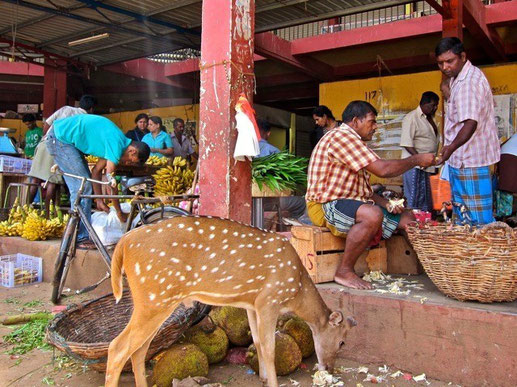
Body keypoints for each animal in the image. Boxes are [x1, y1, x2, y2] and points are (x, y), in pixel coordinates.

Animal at [105, 217, 354, 386]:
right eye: (342, 342)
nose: (329, 367)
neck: (296, 290)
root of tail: (124, 242)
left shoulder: (252, 304)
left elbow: (257, 342)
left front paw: (263, 377)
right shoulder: (269, 299)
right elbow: (269, 348)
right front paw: (272, 382)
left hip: (152, 301)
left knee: (138, 350)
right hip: (156, 296)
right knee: (117, 347)